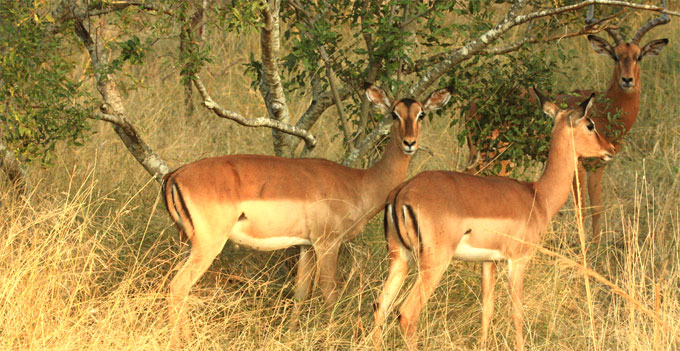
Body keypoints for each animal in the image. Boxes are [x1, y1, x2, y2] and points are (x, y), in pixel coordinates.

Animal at [162, 84, 454, 346]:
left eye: (421, 114)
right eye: (394, 113)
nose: (409, 143)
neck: (359, 183)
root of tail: (175, 175)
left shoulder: (306, 246)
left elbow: (301, 292)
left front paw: (290, 336)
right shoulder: (328, 244)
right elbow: (330, 294)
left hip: (189, 244)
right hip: (208, 245)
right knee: (178, 286)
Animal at [372, 89, 616, 350]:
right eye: (590, 125)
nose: (610, 148)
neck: (538, 196)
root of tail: (401, 193)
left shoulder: (488, 262)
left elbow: (487, 310)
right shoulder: (518, 260)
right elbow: (516, 312)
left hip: (399, 258)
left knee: (380, 306)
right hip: (434, 263)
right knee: (407, 312)